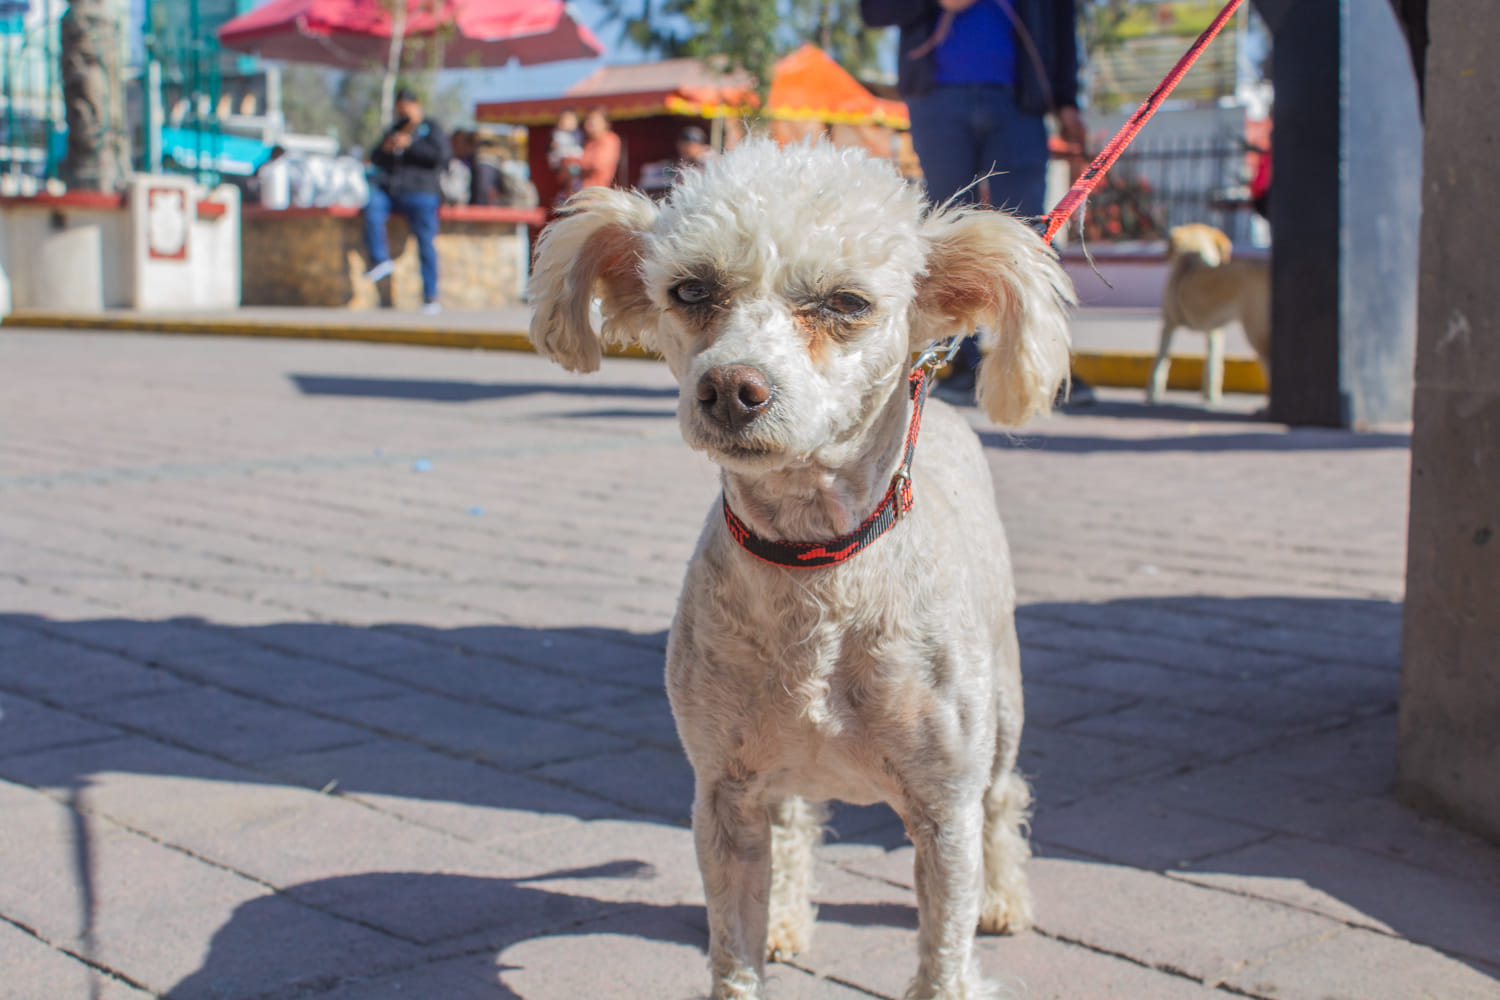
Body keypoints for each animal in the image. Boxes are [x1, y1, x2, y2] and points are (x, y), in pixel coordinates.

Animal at [525, 138, 1068, 1000]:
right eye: (691, 289)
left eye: (846, 301)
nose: (730, 387)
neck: (814, 570)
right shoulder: (723, 798)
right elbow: (733, 953)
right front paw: (762, 934)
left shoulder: (943, 812)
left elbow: (943, 954)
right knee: (791, 827)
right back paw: (784, 918)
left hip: (1002, 717)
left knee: (1004, 799)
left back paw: (1005, 900)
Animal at [1146, 223, 1266, 401]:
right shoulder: (1215, 331)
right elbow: (1213, 364)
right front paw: (1211, 395)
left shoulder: (1168, 324)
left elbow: (1160, 362)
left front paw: (1152, 394)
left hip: (1257, 334)